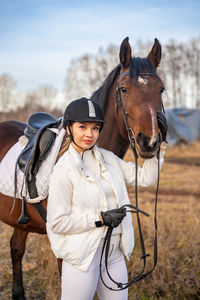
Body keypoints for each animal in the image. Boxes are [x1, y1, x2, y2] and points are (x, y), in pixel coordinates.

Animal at [0, 36, 164, 298]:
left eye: (161, 89)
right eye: (124, 89)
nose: (149, 142)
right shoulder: (64, 249)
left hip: (19, 220)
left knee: (16, 249)